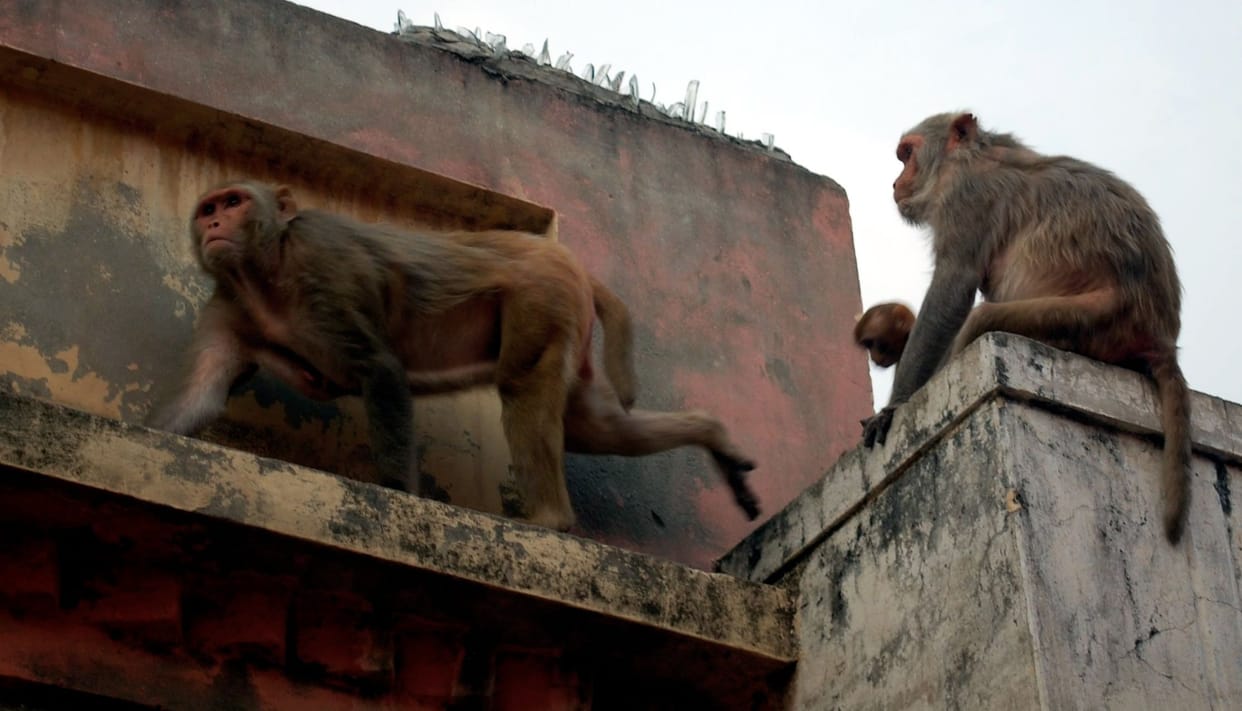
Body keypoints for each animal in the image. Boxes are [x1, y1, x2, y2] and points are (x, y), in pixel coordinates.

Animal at [147, 181, 758, 530]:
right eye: (208, 208)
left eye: (234, 203)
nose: (215, 223)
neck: (266, 269)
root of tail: (574, 265)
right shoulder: (228, 308)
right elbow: (199, 400)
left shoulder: (323, 265)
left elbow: (381, 370)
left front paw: (397, 498)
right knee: (596, 427)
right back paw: (713, 434)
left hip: (542, 294)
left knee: (524, 387)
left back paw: (549, 520)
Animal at [860, 112, 1190, 543]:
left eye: (907, 154)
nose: (896, 182)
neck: (970, 157)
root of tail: (1160, 334)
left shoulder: (965, 199)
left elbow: (952, 288)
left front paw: (894, 406)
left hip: (1091, 321)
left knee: (981, 319)